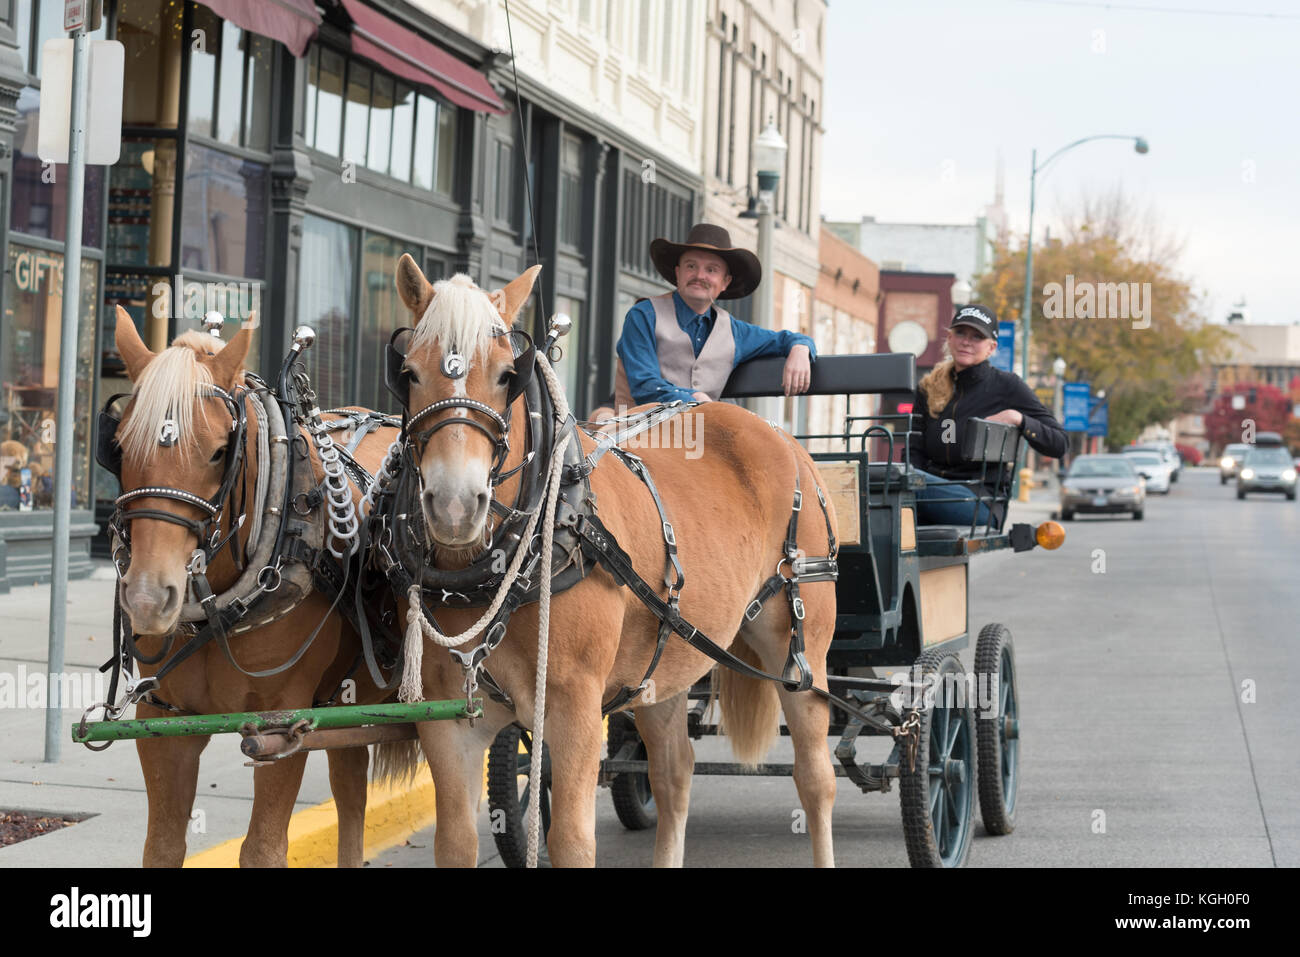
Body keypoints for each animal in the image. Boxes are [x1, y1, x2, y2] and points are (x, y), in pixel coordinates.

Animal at [107, 308, 395, 868]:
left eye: (221, 451)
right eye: (120, 446)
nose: (148, 598)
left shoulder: (281, 726)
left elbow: (263, 848)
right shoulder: (163, 722)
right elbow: (163, 846)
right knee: (352, 795)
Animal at [379, 260, 837, 868]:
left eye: (507, 376)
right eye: (407, 374)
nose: (455, 505)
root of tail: (781, 437)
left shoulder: (573, 707)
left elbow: (571, 840)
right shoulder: (449, 721)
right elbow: (455, 842)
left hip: (798, 649)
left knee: (815, 780)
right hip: (667, 659)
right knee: (674, 775)